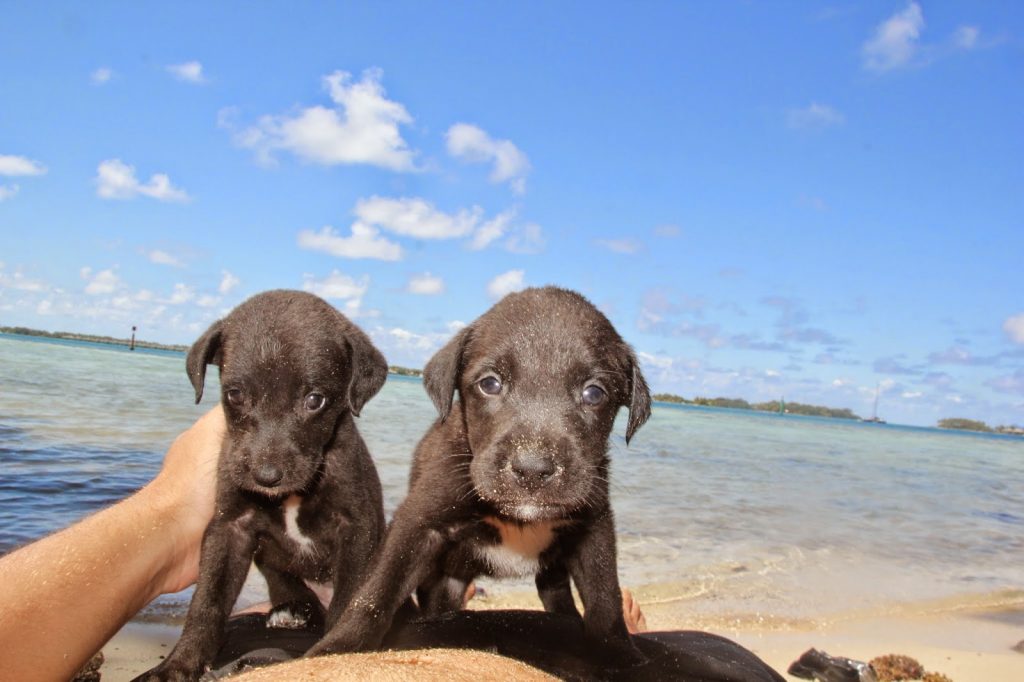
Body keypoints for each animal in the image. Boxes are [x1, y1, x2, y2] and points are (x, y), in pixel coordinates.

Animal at [135, 288, 387, 679]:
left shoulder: (357, 528)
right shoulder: (230, 528)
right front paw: (178, 664)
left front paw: (332, 655)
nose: (266, 476)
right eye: (235, 394)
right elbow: (207, 602)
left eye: (315, 400)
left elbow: (348, 599)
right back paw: (292, 610)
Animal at [307, 284, 651, 663]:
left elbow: (605, 597)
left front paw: (618, 652)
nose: (532, 469)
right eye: (490, 383)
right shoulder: (419, 522)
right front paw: (339, 647)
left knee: (556, 592)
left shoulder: (594, 527)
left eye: (594, 393)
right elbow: (377, 590)